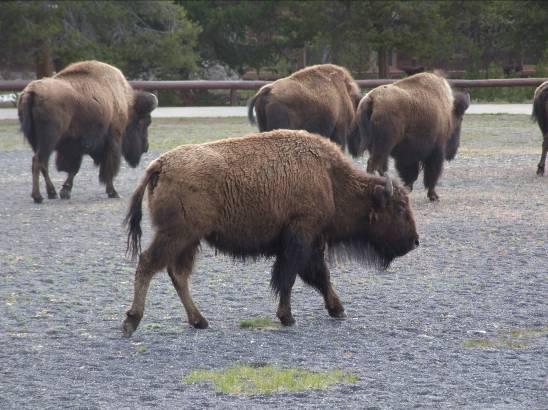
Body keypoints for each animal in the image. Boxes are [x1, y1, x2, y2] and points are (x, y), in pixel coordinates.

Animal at [17, 59, 157, 203]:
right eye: (144, 122)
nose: (146, 147)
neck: (125, 104)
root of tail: (32, 92)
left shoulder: (76, 147)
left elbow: (74, 169)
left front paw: (65, 191)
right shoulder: (111, 141)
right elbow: (106, 168)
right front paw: (113, 192)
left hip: (37, 142)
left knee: (43, 164)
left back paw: (52, 193)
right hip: (49, 140)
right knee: (38, 161)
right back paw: (38, 196)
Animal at [121, 131, 420, 336]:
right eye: (399, 207)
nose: (415, 241)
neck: (330, 179)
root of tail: (161, 164)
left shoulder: (311, 243)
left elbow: (319, 276)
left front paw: (337, 309)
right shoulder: (301, 237)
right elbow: (289, 278)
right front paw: (288, 317)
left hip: (189, 240)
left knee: (178, 274)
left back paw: (199, 321)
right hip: (177, 235)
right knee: (149, 264)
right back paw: (131, 321)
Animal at [348, 73, 468, 203]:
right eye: (460, 118)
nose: (453, 151)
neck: (447, 110)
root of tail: (371, 99)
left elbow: (410, 172)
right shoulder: (435, 151)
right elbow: (431, 174)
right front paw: (433, 196)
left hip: (376, 146)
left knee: (379, 166)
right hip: (384, 145)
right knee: (373, 164)